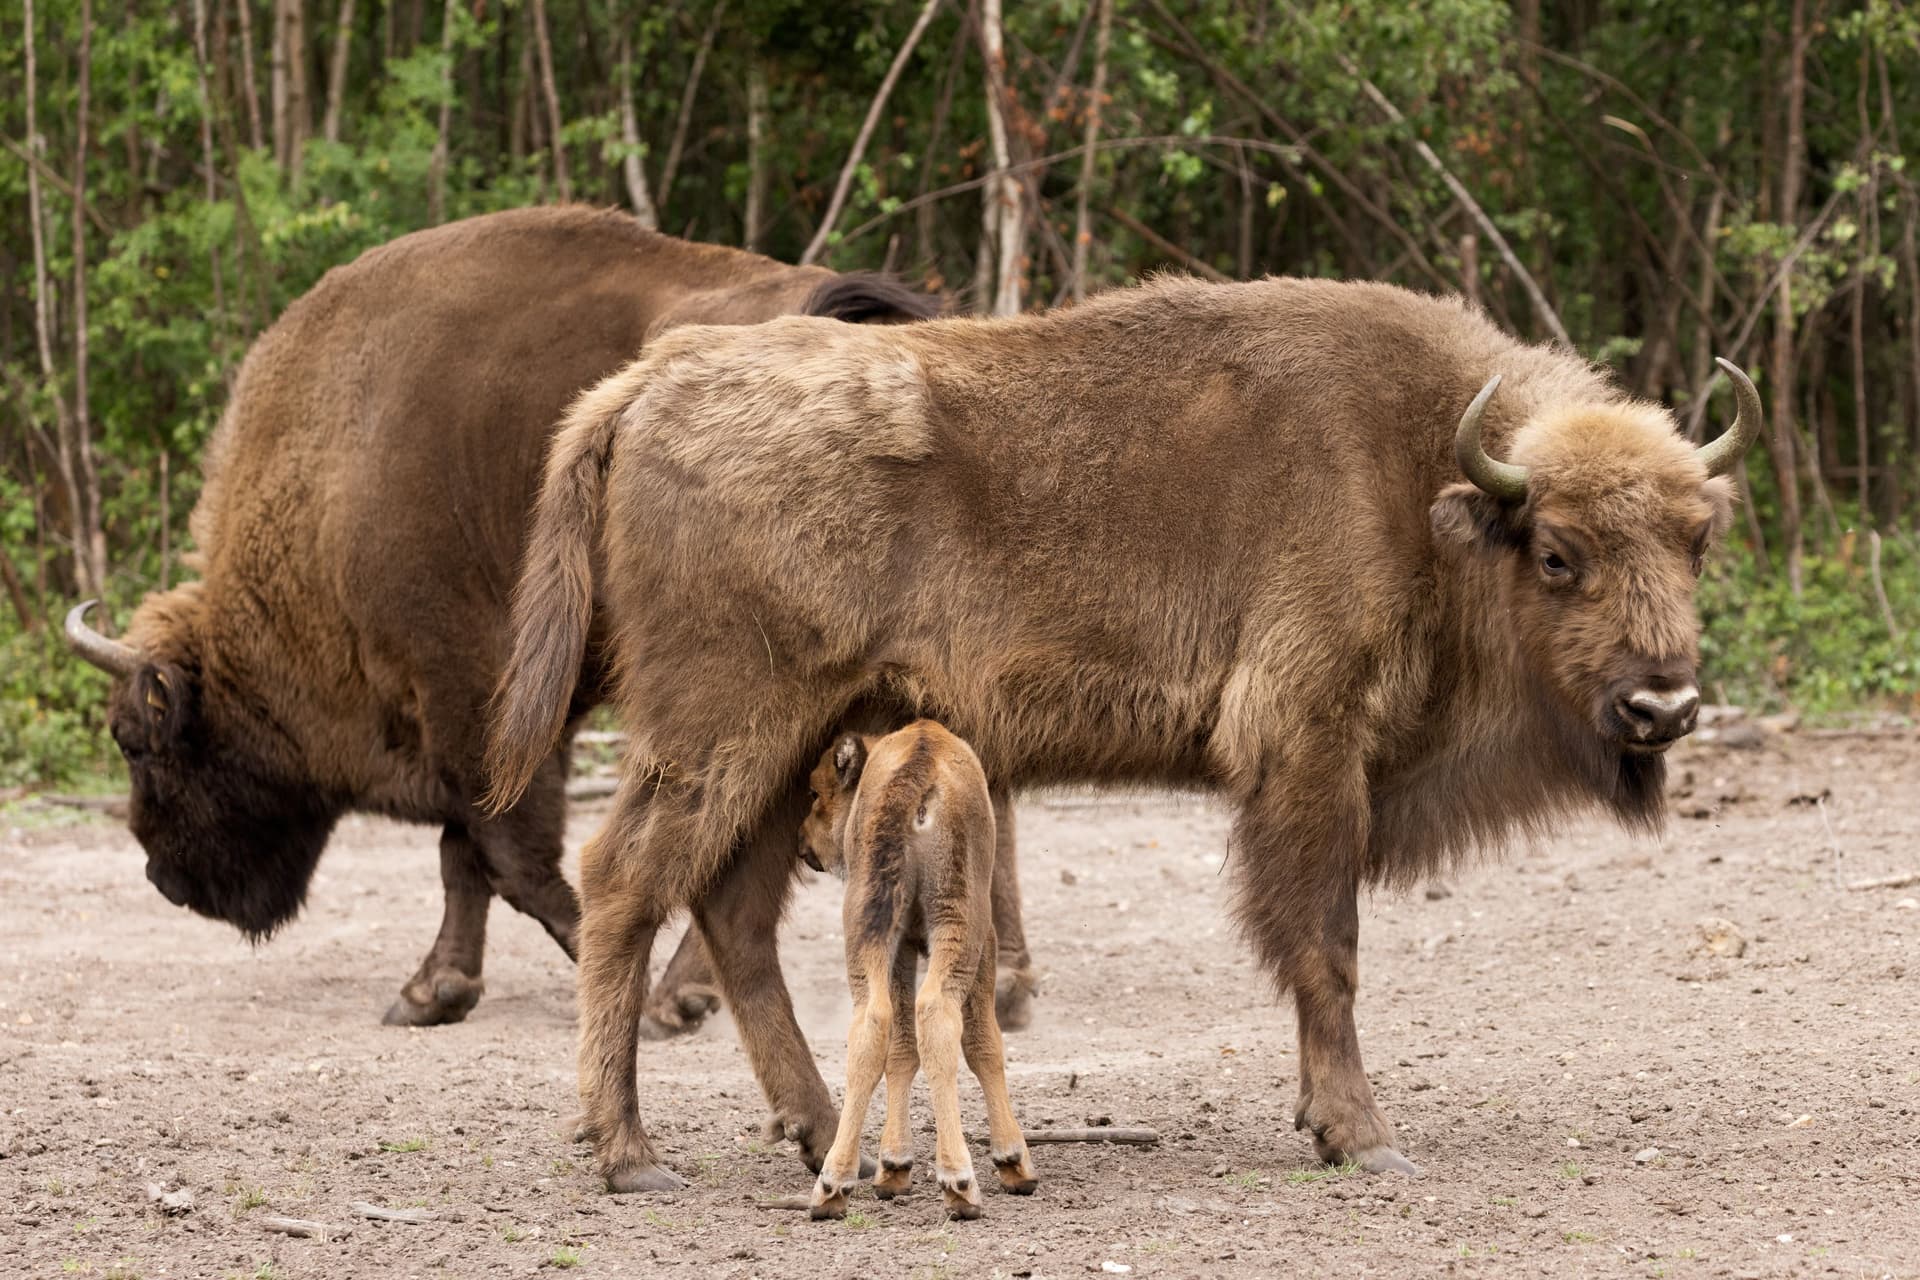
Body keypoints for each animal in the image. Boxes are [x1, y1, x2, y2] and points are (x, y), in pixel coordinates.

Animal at [487, 274, 1762, 1190]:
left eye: (1697, 539)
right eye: (1557, 553)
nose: (1662, 706)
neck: (1419, 480)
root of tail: (647, 386)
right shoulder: (1311, 746)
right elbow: (1328, 943)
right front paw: (1360, 1132)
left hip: (800, 739)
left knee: (733, 912)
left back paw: (807, 1131)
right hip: (723, 724)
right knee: (626, 882)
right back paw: (630, 1154)